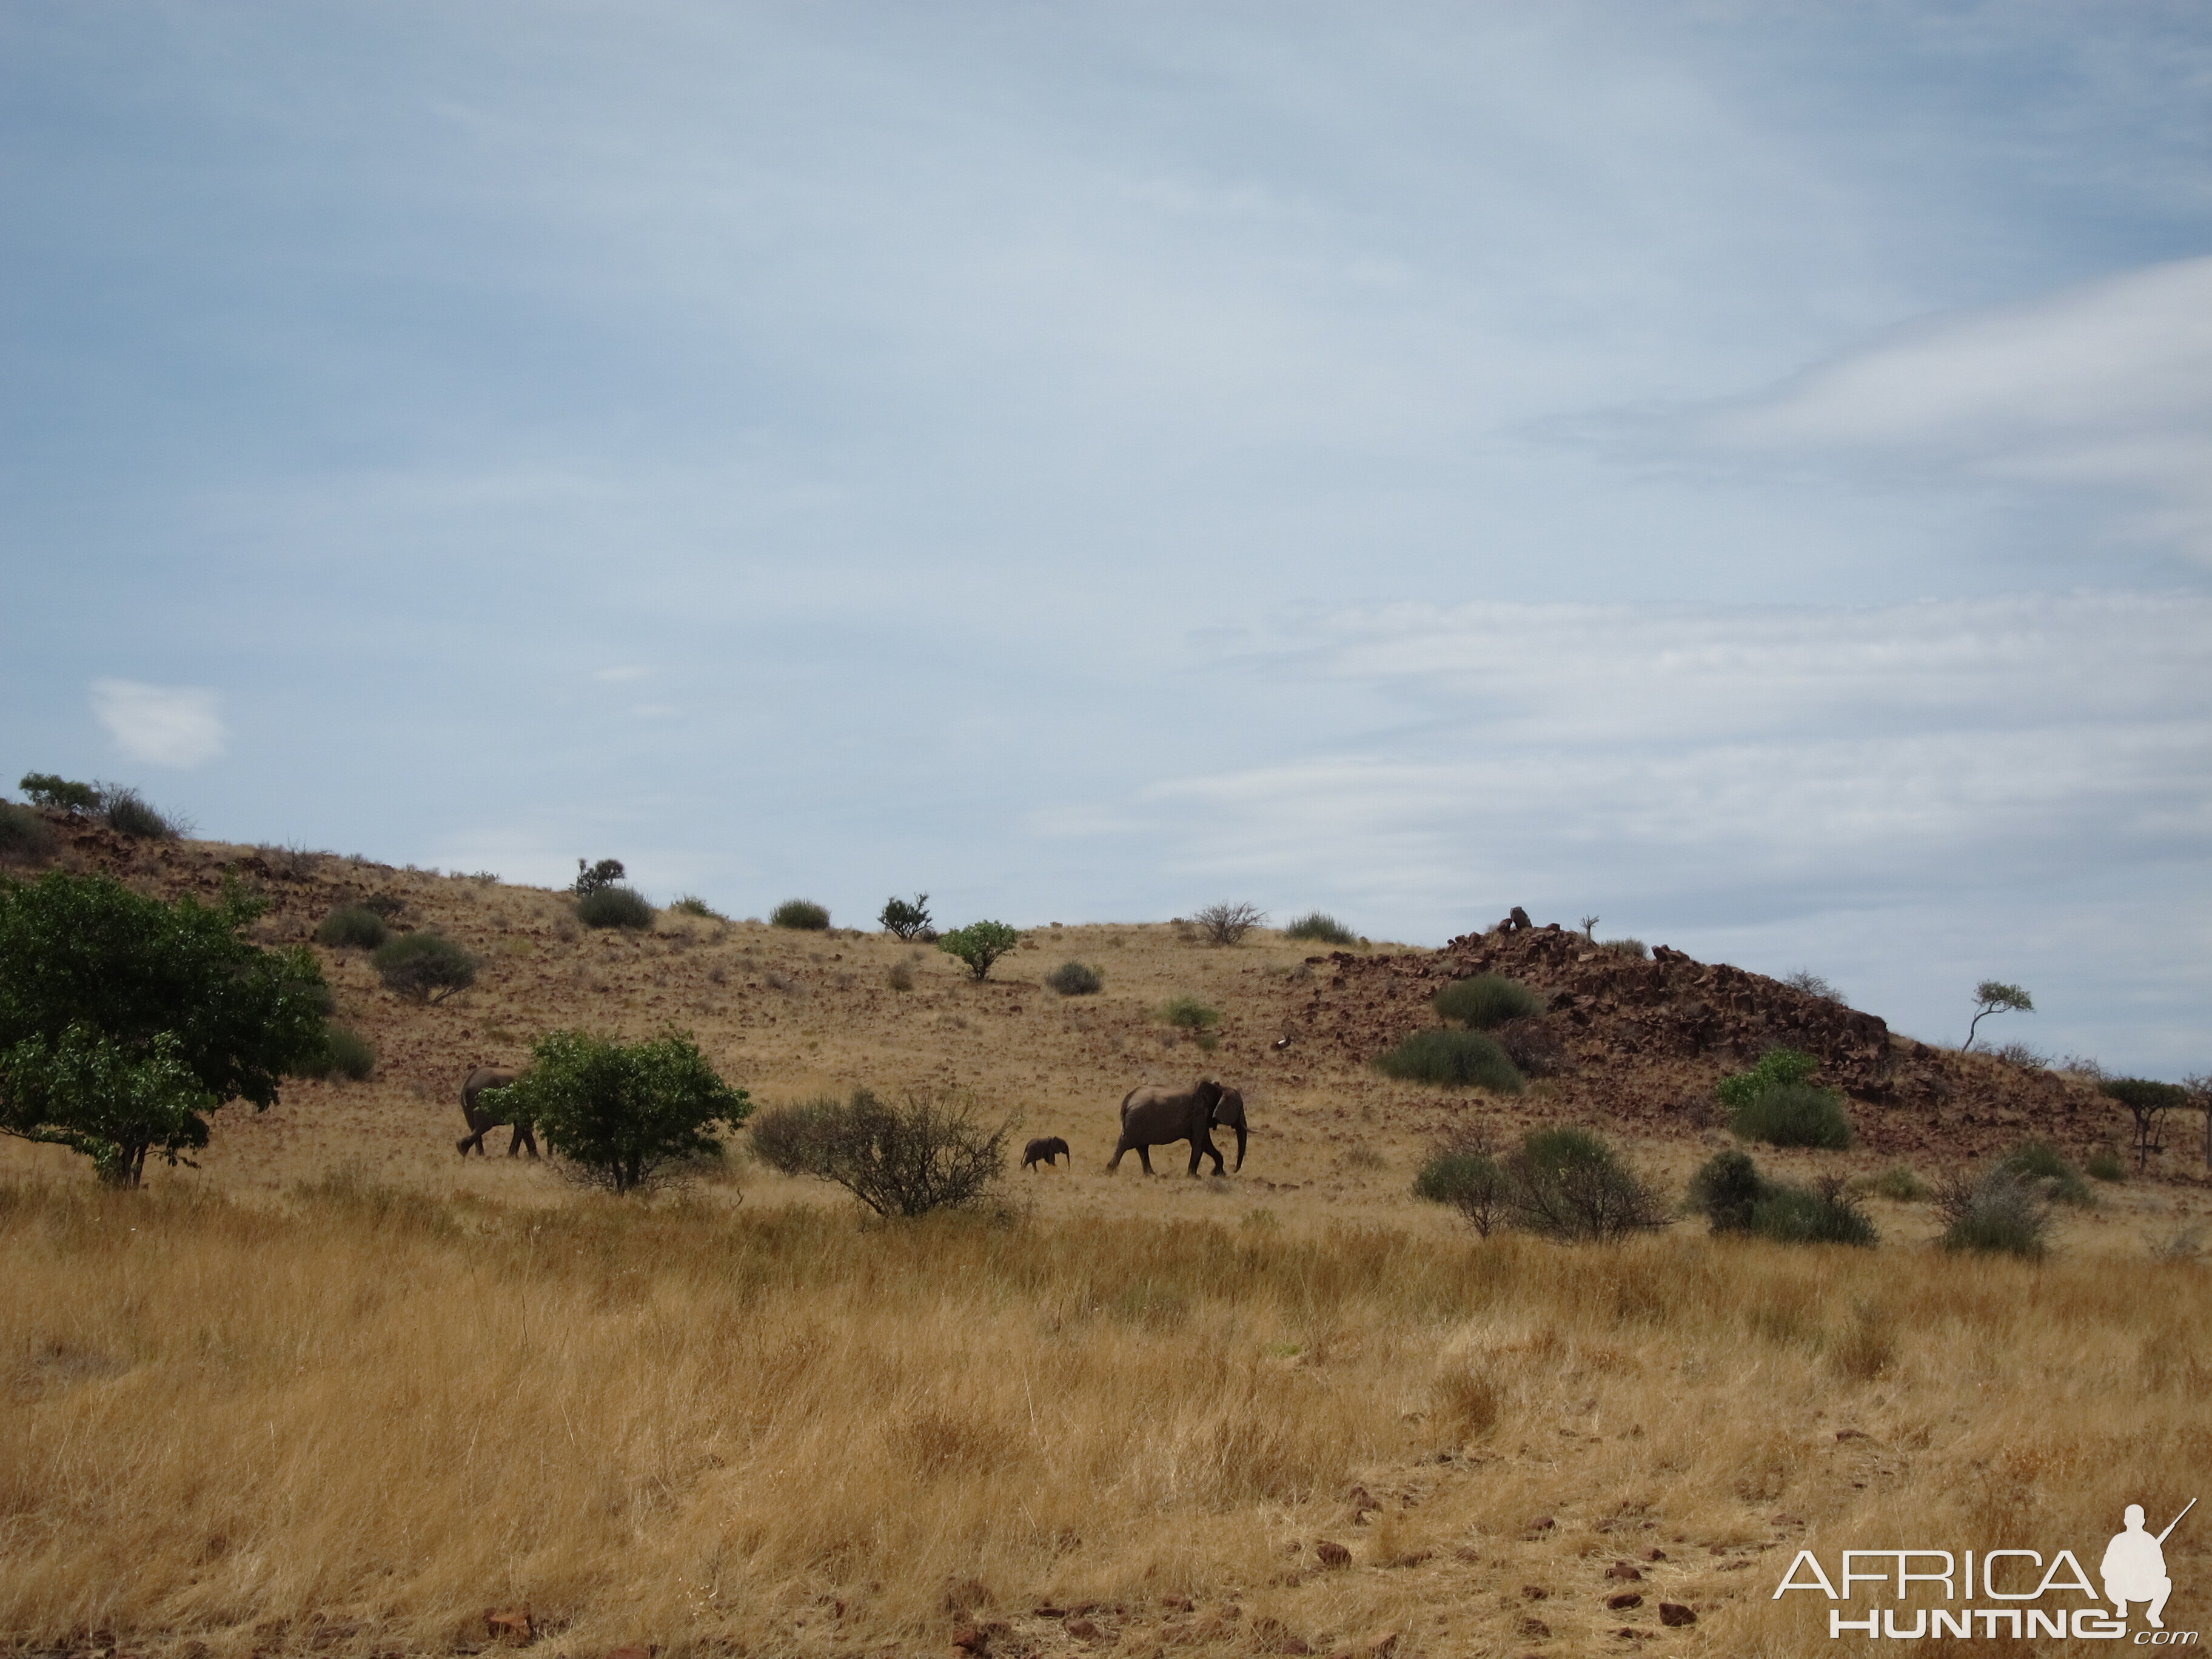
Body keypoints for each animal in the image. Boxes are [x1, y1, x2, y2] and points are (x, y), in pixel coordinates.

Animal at [1106, 1079, 1247, 1185]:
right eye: (1240, 1107)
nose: (1234, 1170)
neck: (1218, 1089)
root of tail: (1127, 1100)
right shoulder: (1200, 1114)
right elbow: (1199, 1144)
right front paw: (1195, 1177)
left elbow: (1206, 1144)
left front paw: (1219, 1174)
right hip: (1136, 1121)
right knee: (1125, 1145)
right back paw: (1110, 1171)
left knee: (1142, 1148)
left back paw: (1151, 1174)